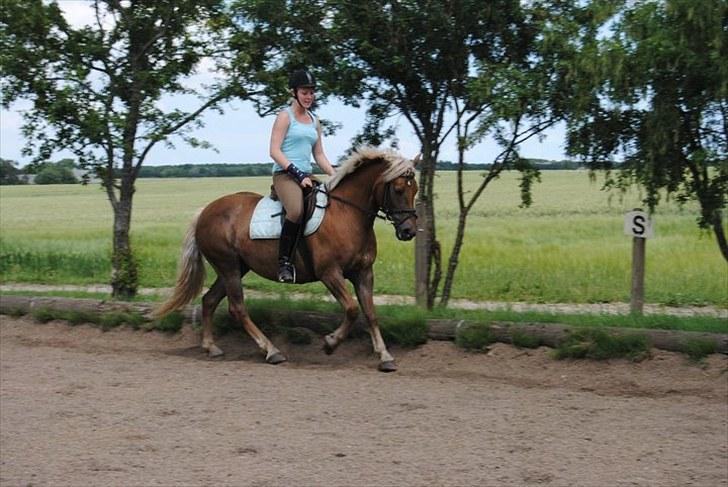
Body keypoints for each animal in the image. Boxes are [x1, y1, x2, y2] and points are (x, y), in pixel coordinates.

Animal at [156, 147, 418, 372]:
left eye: (414, 189)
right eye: (397, 189)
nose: (409, 231)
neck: (347, 214)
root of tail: (205, 212)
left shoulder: (364, 272)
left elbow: (370, 313)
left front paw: (385, 356)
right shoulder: (329, 273)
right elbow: (352, 309)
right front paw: (330, 343)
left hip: (235, 268)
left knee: (209, 300)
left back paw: (211, 347)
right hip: (228, 267)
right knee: (237, 308)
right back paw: (271, 351)